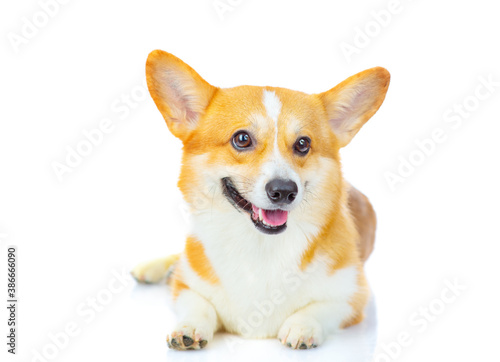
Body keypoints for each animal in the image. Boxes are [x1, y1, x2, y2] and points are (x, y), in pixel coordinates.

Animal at [133, 49, 390, 350]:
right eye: (242, 139)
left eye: (303, 143)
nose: (284, 191)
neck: (259, 245)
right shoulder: (186, 285)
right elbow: (198, 304)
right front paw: (189, 328)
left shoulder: (352, 297)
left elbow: (320, 308)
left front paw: (302, 326)